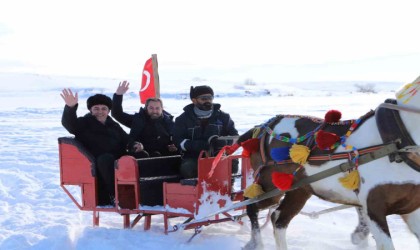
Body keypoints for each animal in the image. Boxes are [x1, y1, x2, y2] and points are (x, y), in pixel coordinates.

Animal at [236, 77, 420, 249]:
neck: (395, 141)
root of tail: (260, 128)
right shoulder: (374, 207)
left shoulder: (412, 208)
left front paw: (359, 236)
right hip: (269, 187)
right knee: (251, 206)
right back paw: (255, 243)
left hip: (300, 189)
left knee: (279, 219)